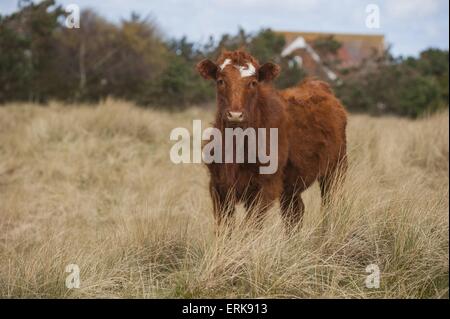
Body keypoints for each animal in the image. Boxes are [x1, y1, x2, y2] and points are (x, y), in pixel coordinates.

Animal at [195, 50, 346, 232]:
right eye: (220, 81)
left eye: (253, 83)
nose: (235, 115)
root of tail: (317, 85)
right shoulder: (218, 187)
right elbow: (224, 228)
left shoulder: (265, 188)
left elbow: (250, 227)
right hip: (290, 187)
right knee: (294, 214)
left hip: (335, 170)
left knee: (330, 204)